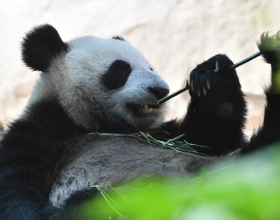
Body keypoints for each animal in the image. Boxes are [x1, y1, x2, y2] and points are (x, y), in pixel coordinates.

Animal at [0, 24, 278, 219]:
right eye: (121, 69)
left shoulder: (163, 134)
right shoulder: (36, 136)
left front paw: (212, 73)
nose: (161, 90)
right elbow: (20, 207)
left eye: (151, 67)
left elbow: (211, 137)